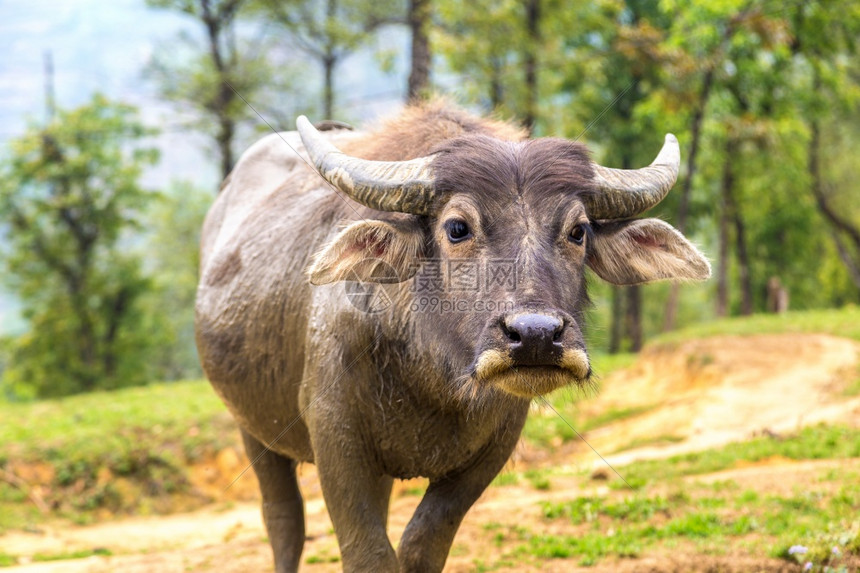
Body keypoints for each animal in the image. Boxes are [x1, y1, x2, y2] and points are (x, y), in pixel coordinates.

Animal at [197, 100, 712, 568]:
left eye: (579, 231)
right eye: (458, 227)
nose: (537, 336)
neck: (431, 379)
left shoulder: (492, 448)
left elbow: (421, 547)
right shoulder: (336, 441)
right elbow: (369, 555)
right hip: (252, 428)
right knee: (284, 520)